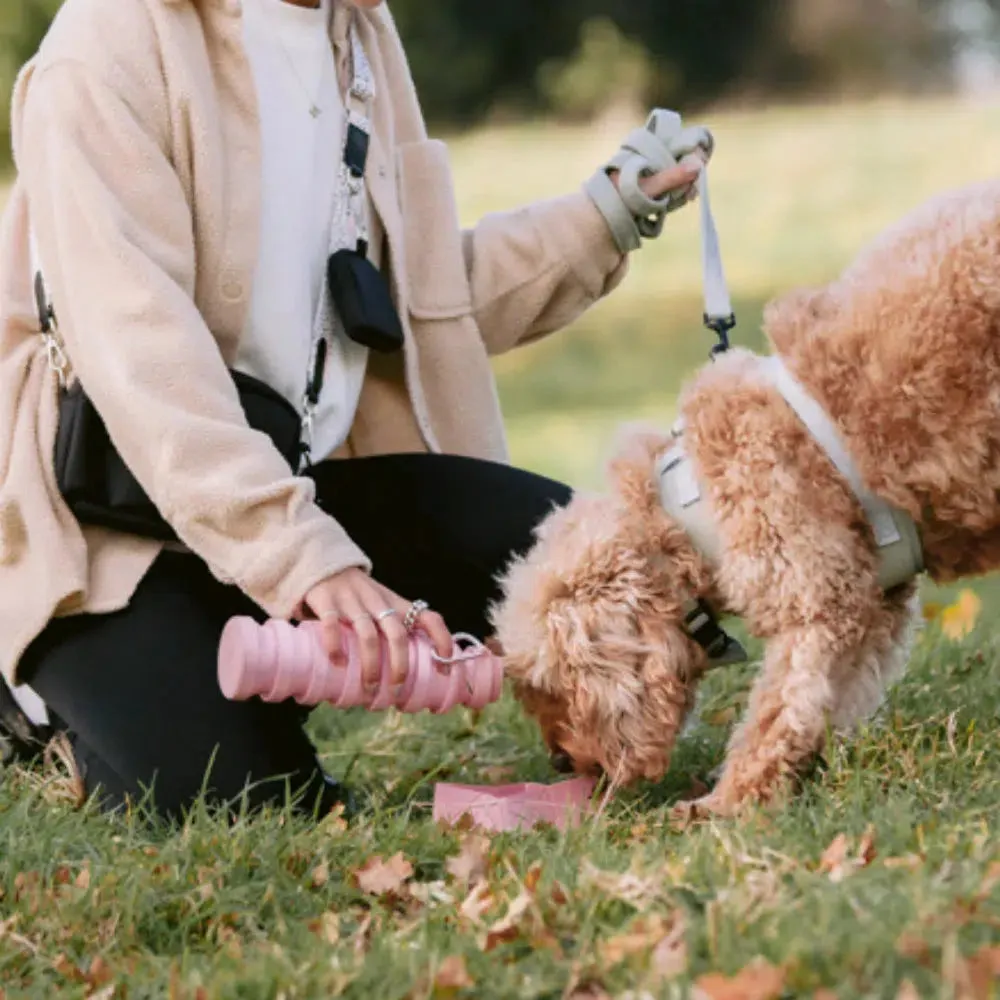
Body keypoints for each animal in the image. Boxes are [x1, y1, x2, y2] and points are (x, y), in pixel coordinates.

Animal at [494, 180, 1000, 816]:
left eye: (551, 684)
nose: (561, 762)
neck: (685, 510)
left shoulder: (815, 602)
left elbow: (775, 714)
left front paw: (724, 805)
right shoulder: (870, 608)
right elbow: (831, 701)